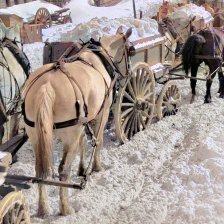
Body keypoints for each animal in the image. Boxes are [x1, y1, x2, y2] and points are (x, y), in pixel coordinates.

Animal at [22, 26, 133, 217]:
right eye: (129, 51)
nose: (128, 74)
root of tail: (46, 86)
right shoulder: (102, 113)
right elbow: (98, 141)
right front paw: (96, 167)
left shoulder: (83, 122)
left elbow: (83, 142)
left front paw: (82, 169)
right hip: (69, 134)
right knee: (63, 170)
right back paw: (65, 208)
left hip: (36, 134)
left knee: (39, 170)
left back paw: (43, 208)